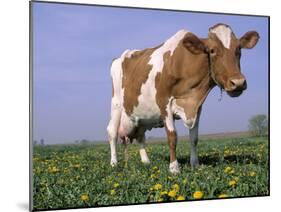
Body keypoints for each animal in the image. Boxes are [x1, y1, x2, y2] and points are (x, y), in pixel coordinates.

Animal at [106, 23, 258, 173]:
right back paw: (114, 163)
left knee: (140, 136)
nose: (238, 82)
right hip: (116, 104)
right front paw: (174, 168)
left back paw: (146, 162)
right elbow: (172, 137)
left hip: (141, 116)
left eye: (238, 49)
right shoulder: (164, 103)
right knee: (112, 132)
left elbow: (194, 138)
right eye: (212, 50)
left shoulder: (197, 107)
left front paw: (195, 165)